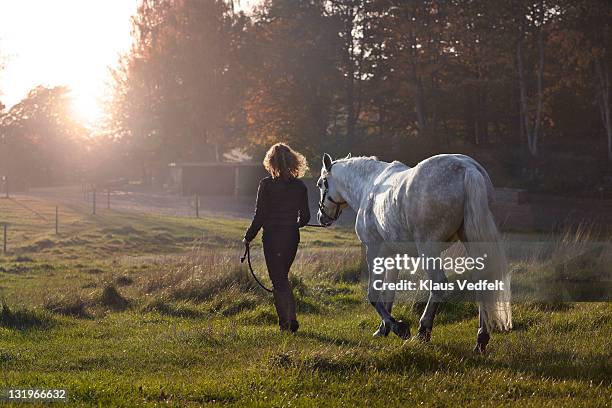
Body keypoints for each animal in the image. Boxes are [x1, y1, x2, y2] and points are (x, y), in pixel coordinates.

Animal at [316, 153, 512, 354]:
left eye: (321, 184)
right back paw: (481, 339)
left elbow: (373, 293)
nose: (321, 217)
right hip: (471, 240)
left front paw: (398, 327)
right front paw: (383, 328)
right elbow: (389, 292)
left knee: (439, 284)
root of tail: (467, 168)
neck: (370, 185)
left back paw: (423, 331)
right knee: (483, 281)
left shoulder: (374, 251)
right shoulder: (393, 255)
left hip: (428, 247)